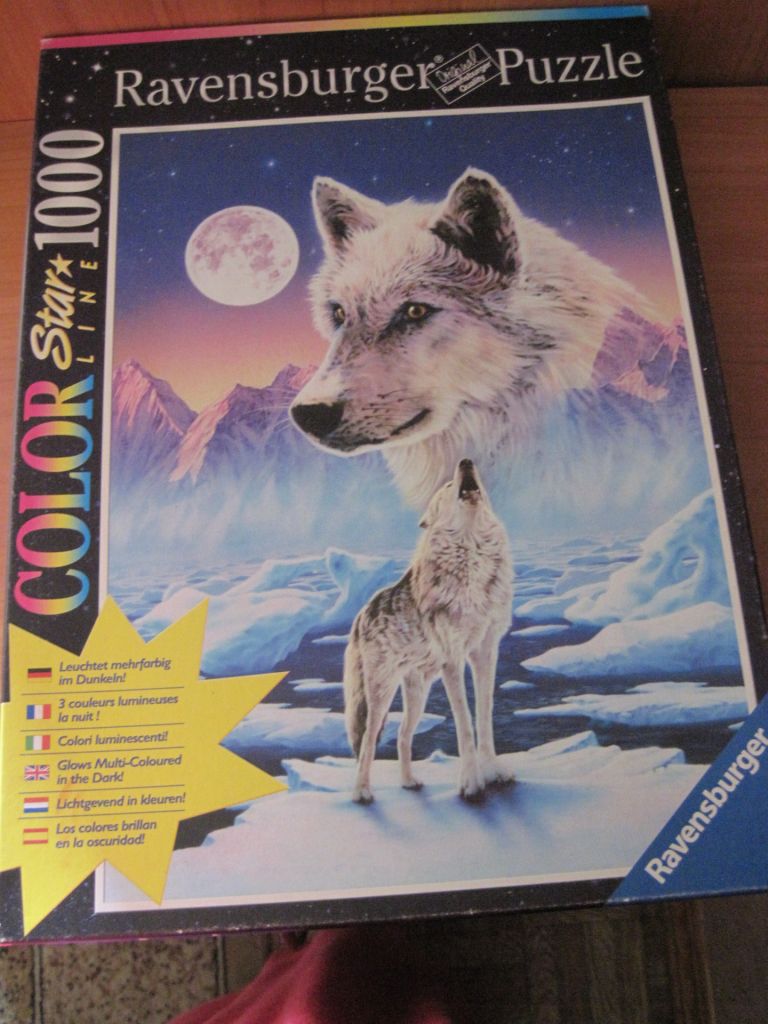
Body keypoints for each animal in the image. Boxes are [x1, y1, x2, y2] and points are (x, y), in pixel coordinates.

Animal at [343, 459, 513, 804]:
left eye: (472, 475)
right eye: (447, 486)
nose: (465, 461)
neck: (472, 556)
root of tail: (362, 613)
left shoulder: (486, 652)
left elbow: (485, 716)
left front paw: (493, 772)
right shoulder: (453, 660)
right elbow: (464, 724)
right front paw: (471, 783)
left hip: (418, 693)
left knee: (402, 735)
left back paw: (409, 782)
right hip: (380, 694)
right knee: (367, 740)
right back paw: (362, 791)